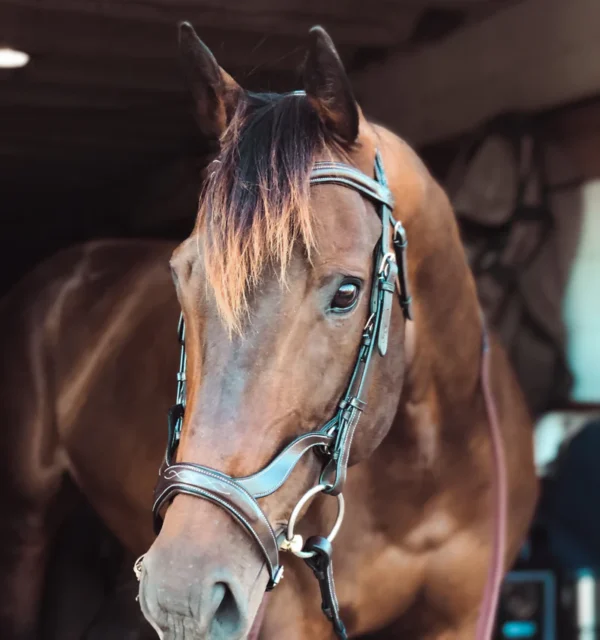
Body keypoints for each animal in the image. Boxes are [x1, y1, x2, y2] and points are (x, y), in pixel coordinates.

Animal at [0, 22, 540, 640]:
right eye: (182, 275)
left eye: (347, 292)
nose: (183, 593)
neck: (422, 475)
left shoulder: (463, 616)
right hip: (26, 523)